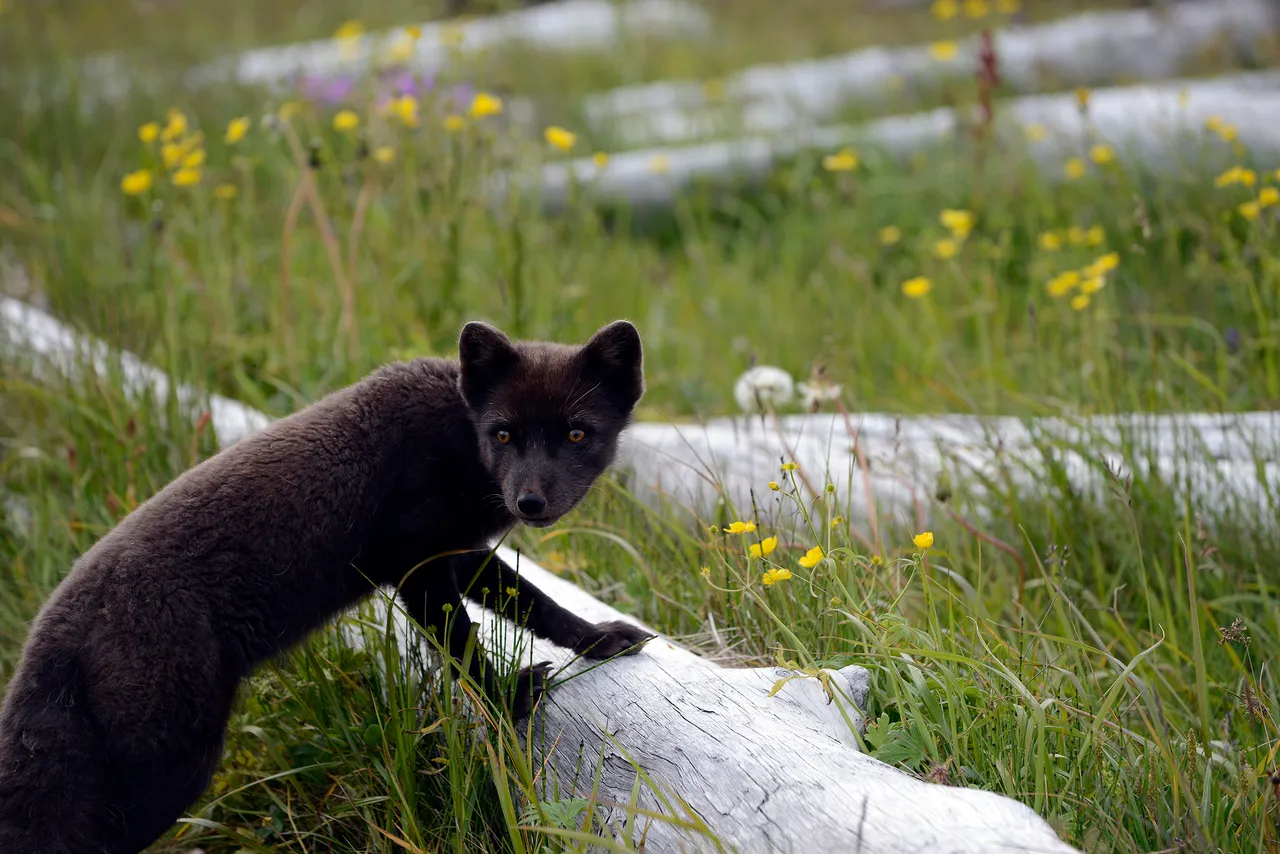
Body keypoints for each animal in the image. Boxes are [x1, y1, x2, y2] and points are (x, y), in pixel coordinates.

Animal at [0, 318, 650, 854]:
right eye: (505, 434)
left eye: (576, 434)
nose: (530, 501)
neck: (460, 438)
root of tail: (48, 635)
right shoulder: (415, 559)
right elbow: (462, 644)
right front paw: (509, 697)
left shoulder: (458, 552)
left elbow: (533, 603)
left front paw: (600, 638)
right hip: (173, 758)